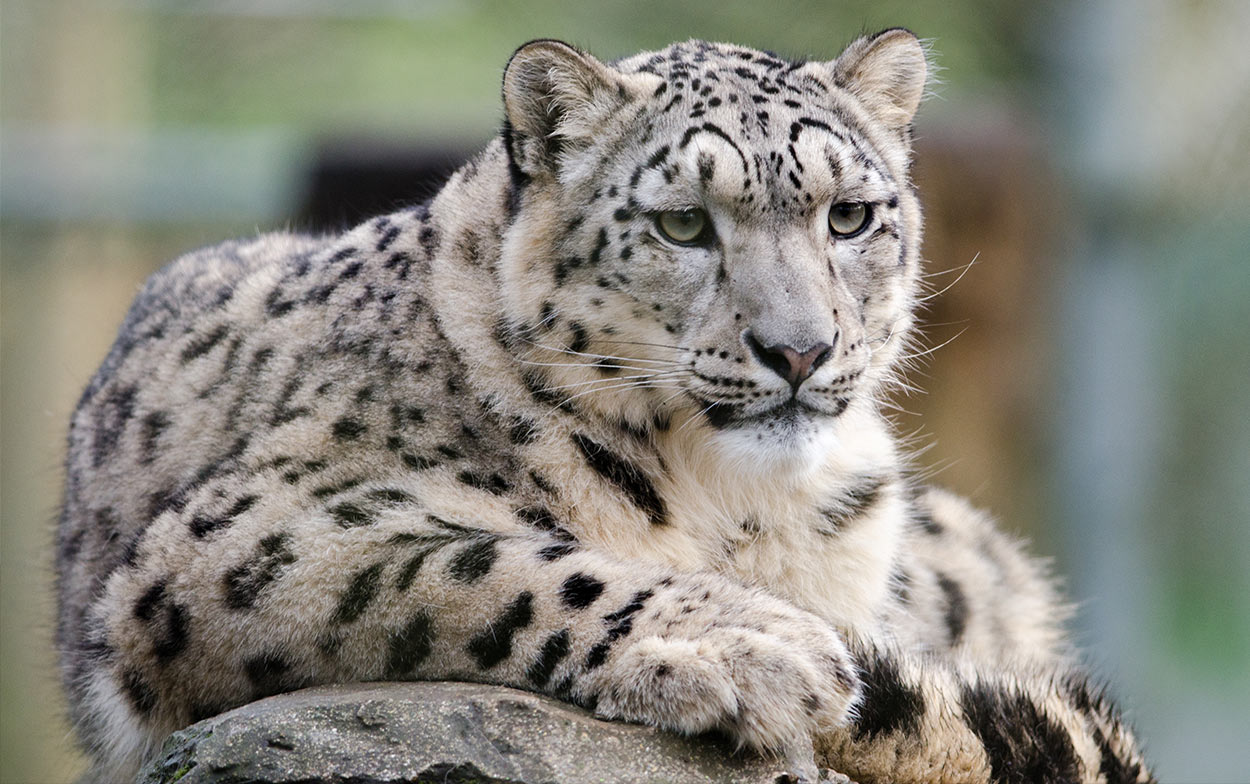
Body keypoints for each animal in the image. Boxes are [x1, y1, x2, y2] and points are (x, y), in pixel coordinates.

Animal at [56, 30, 1150, 784]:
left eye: (848, 216)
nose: (798, 349)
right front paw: (753, 648)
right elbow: (482, 567)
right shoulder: (253, 532)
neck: (745, 508)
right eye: (682, 225)